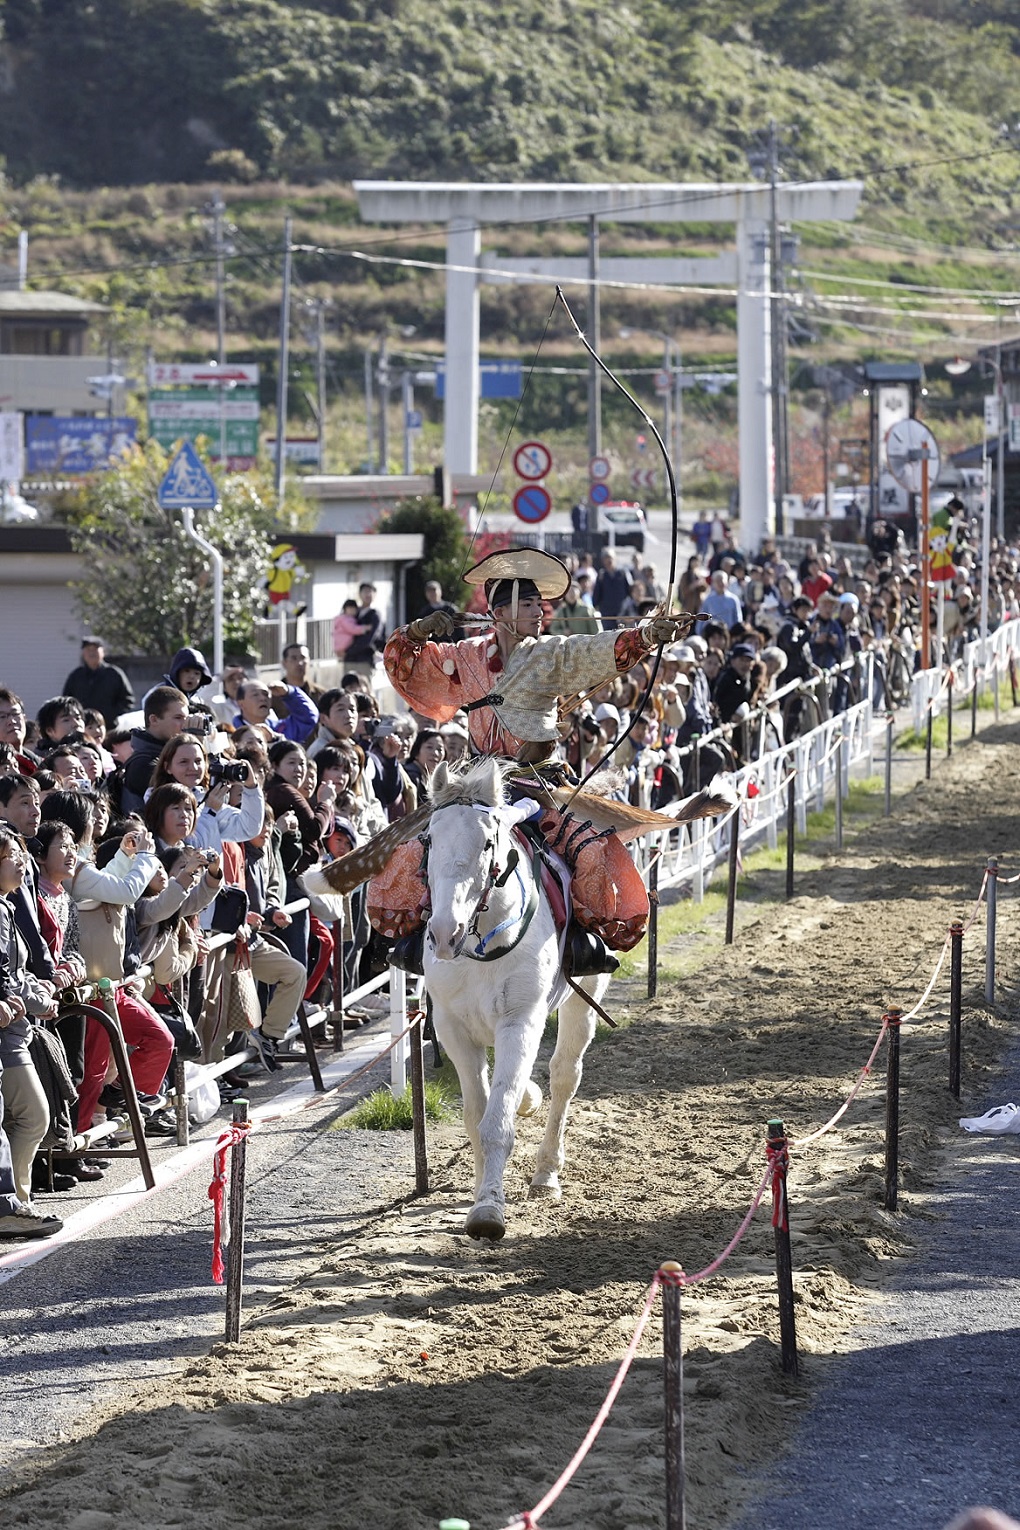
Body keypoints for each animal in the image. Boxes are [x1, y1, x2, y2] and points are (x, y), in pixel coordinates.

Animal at [422, 758, 611, 1236]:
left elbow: (497, 1121)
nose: (444, 932)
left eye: (488, 842)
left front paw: (488, 1211)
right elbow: (476, 1117)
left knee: (565, 1076)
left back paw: (546, 1172)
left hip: (584, 996)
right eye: (429, 839)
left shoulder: (519, 1021)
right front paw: (479, 1189)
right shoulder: (452, 1028)